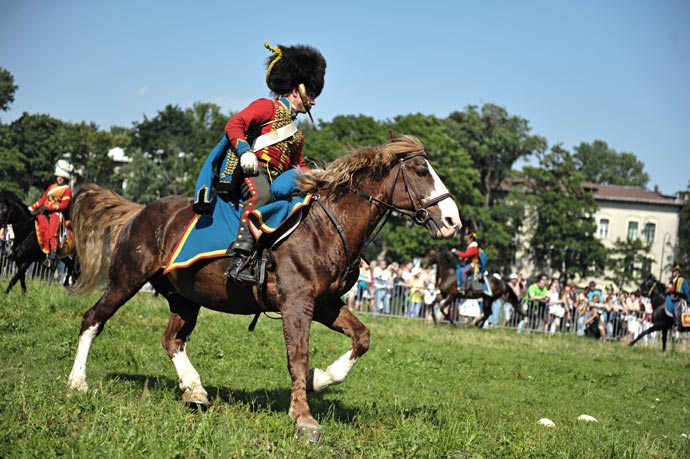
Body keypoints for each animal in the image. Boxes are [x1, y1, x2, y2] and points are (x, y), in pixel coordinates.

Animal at [67, 135, 460, 444]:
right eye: (421, 171)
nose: (453, 221)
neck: (326, 226)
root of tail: (139, 212)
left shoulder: (326, 304)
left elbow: (361, 338)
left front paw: (320, 380)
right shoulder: (296, 303)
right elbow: (297, 356)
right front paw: (304, 419)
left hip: (185, 298)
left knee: (172, 340)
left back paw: (195, 390)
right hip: (126, 281)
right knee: (93, 319)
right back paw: (77, 383)